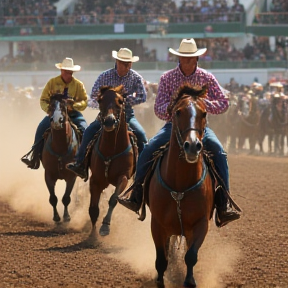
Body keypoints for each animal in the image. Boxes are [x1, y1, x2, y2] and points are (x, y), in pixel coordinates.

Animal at [41, 90, 80, 223]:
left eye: (64, 106)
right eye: (52, 105)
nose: (57, 120)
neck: (60, 148)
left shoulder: (71, 176)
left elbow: (66, 198)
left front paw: (67, 216)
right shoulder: (48, 174)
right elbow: (53, 198)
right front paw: (56, 217)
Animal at [88, 85, 137, 236]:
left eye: (120, 101)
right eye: (100, 100)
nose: (109, 121)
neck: (111, 150)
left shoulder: (124, 177)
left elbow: (113, 199)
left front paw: (105, 226)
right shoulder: (95, 180)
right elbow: (93, 208)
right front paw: (92, 235)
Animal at [144, 84, 214, 286]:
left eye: (204, 113)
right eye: (177, 112)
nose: (193, 146)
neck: (180, 185)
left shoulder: (201, 224)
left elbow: (190, 256)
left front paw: (189, 280)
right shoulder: (157, 224)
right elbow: (161, 259)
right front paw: (160, 281)